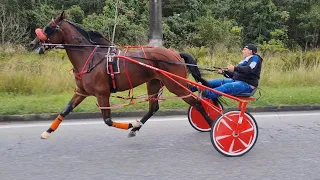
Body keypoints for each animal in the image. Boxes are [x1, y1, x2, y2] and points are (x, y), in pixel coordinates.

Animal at [28, 12, 215, 139]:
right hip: (155, 82)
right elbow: (65, 110)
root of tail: (175, 54)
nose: (32, 44)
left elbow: (108, 120)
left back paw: (214, 123)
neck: (89, 56)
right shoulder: (81, 91)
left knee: (197, 102)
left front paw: (132, 122)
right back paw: (136, 128)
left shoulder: (102, 93)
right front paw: (47, 132)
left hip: (175, 84)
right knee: (154, 107)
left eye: (48, 28)